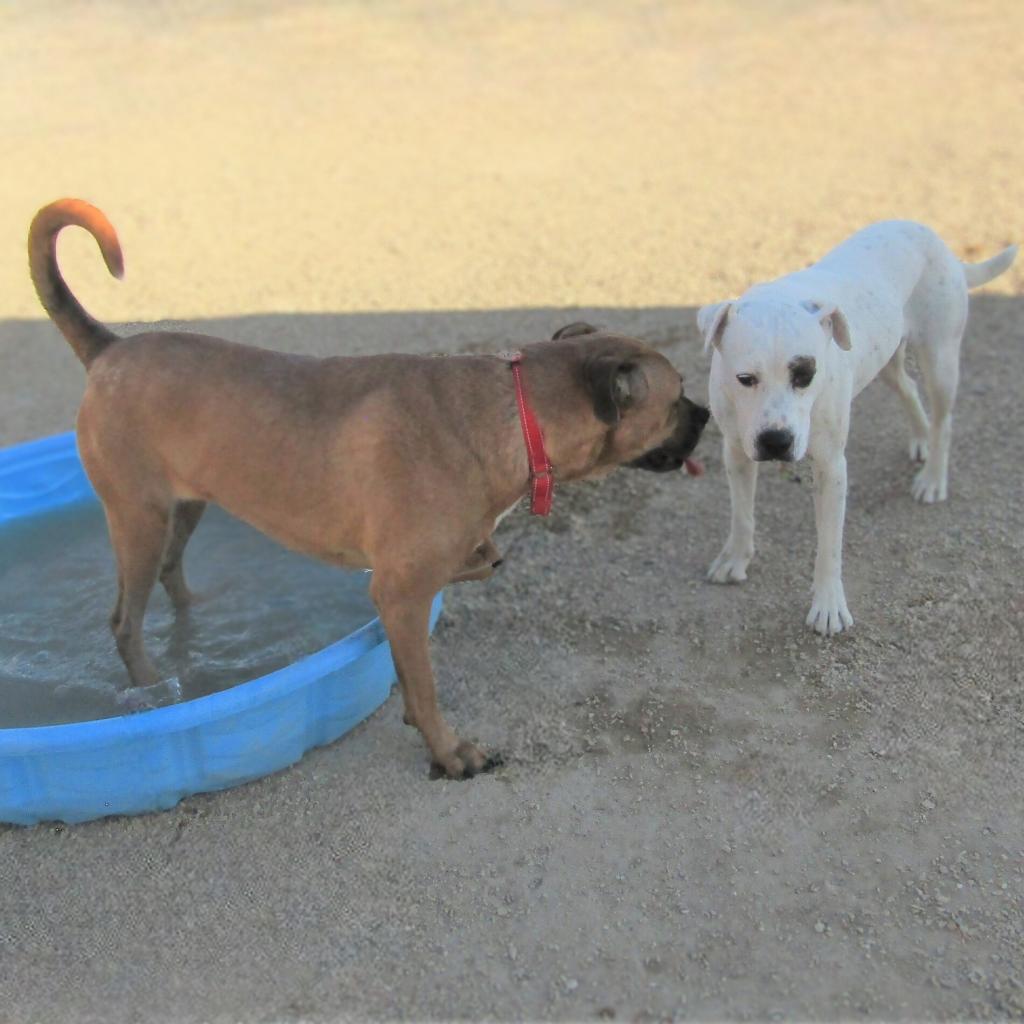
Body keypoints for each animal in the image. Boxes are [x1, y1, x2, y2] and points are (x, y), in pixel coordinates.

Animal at [28, 197, 708, 774]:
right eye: (677, 398)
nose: (706, 415)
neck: (515, 410)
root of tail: (109, 349)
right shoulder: (401, 592)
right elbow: (426, 686)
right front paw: (449, 753)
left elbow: (473, 571)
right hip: (137, 518)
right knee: (124, 621)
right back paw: (154, 690)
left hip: (185, 505)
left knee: (173, 577)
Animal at [696, 221, 1015, 634]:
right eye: (745, 379)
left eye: (806, 375)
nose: (776, 441)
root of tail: (930, 235)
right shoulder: (736, 452)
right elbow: (742, 514)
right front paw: (735, 558)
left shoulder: (831, 468)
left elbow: (829, 546)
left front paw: (829, 605)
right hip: (888, 361)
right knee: (909, 390)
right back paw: (921, 439)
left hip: (941, 359)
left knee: (944, 420)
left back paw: (932, 478)